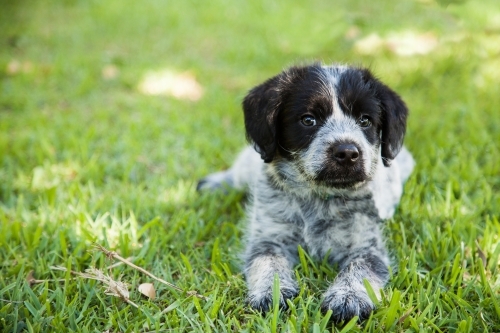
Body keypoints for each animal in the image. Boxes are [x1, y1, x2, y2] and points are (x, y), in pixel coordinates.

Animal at [198, 63, 414, 322]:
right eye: (308, 120)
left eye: (365, 120)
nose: (347, 153)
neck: (319, 196)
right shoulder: (269, 238)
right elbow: (268, 263)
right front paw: (272, 292)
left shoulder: (367, 246)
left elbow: (360, 268)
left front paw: (348, 297)